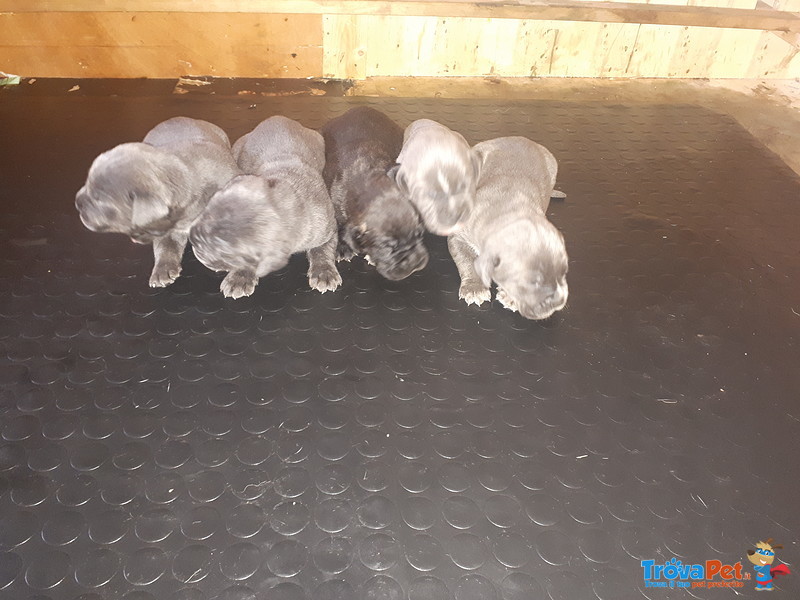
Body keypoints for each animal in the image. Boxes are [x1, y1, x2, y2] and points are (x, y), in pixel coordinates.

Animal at [320, 106, 428, 282]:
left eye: (419, 234)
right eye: (386, 248)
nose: (416, 264)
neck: (365, 179)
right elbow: (339, 227)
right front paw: (342, 248)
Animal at [450, 137, 568, 322]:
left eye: (564, 271)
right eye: (531, 282)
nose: (559, 302)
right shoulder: (459, 236)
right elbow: (468, 261)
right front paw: (475, 289)